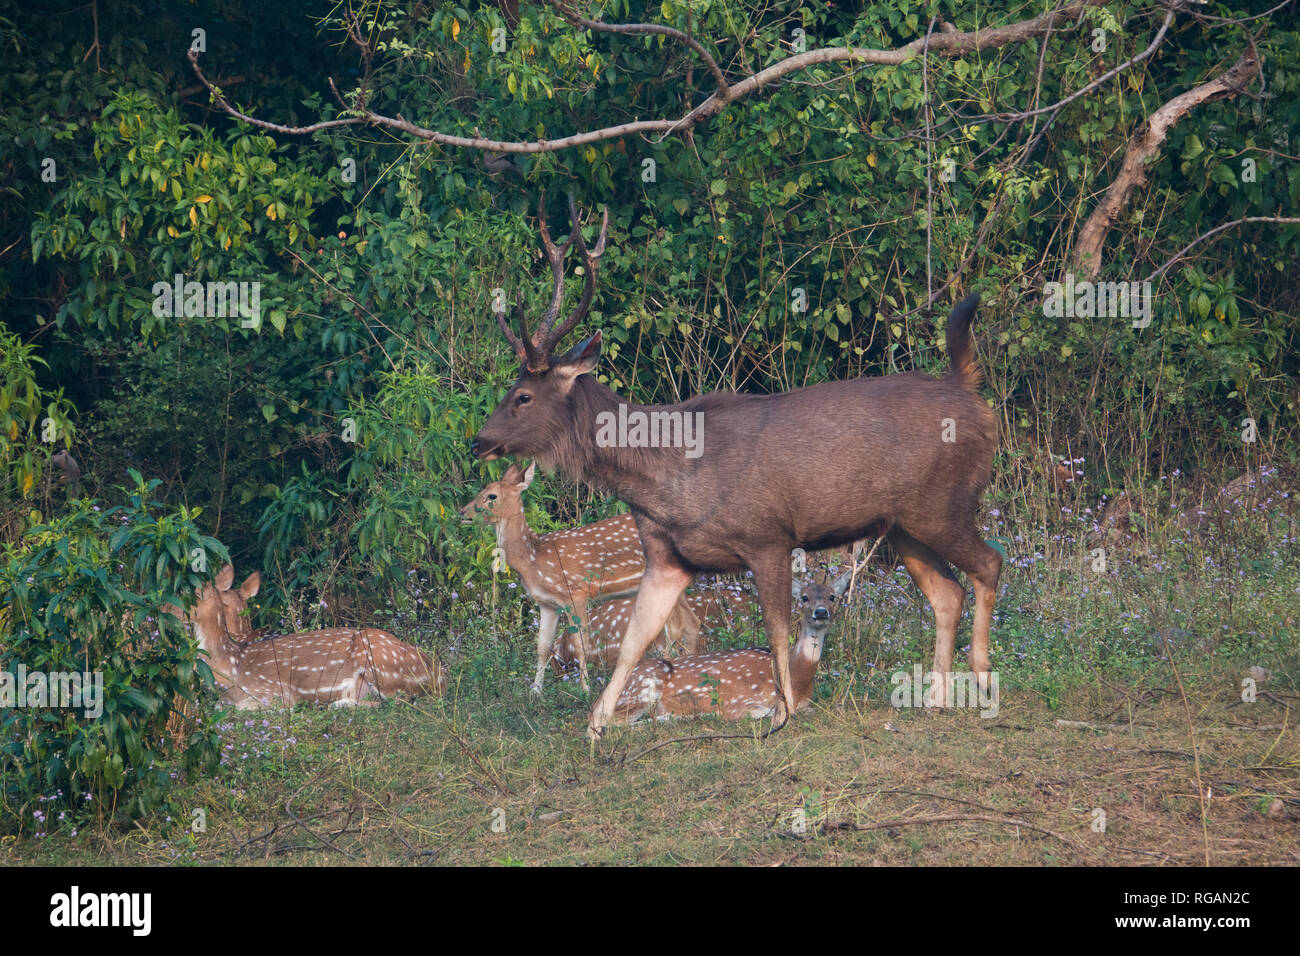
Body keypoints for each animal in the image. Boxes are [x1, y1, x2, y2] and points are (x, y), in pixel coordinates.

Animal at [172, 567, 447, 712]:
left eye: (185, 594)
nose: (166, 610)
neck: (231, 664)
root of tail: (439, 675)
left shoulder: (276, 693)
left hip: (380, 663)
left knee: (395, 700)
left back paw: (339, 704)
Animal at [608, 567, 852, 723]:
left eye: (832, 596)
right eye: (804, 597)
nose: (820, 612)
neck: (797, 677)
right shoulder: (743, 700)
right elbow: (756, 712)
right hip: (640, 690)